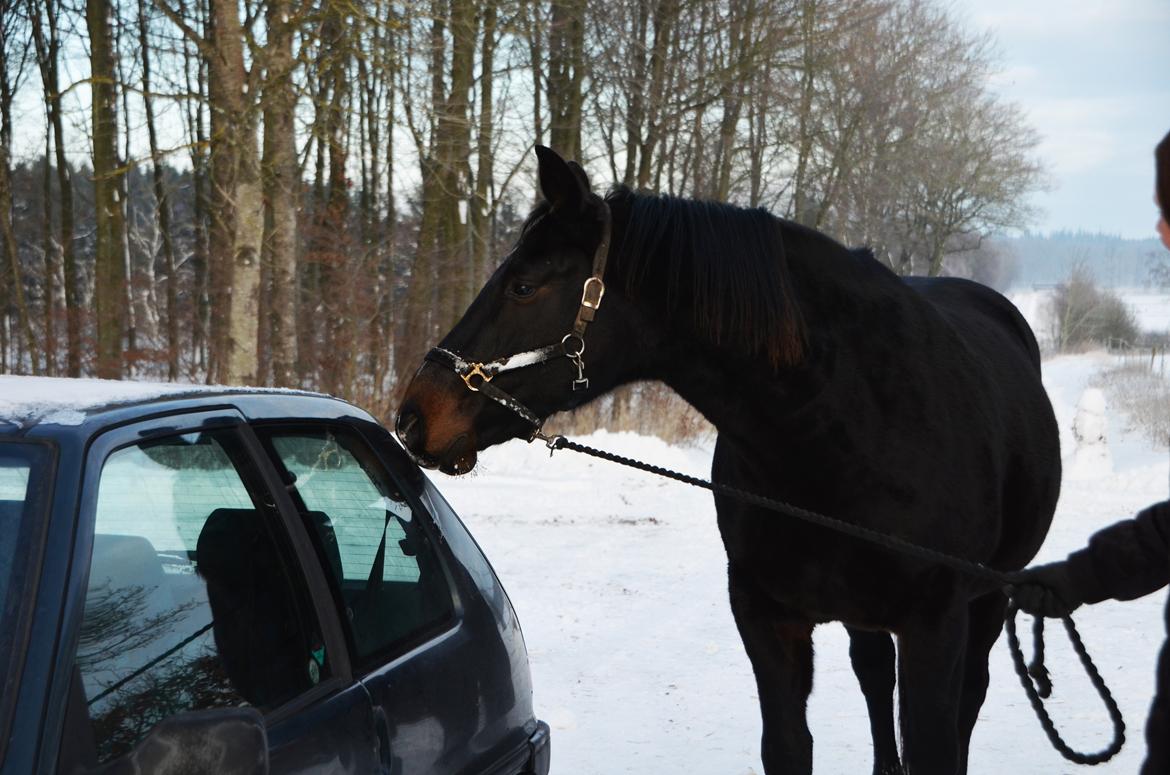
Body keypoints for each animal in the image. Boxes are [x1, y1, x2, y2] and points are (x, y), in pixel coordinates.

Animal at [397, 147, 1067, 775]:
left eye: (523, 286)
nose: (413, 416)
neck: (849, 431)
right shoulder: (766, 617)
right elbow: (790, 747)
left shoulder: (936, 626)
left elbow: (937, 746)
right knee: (875, 677)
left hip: (987, 601)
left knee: (968, 699)